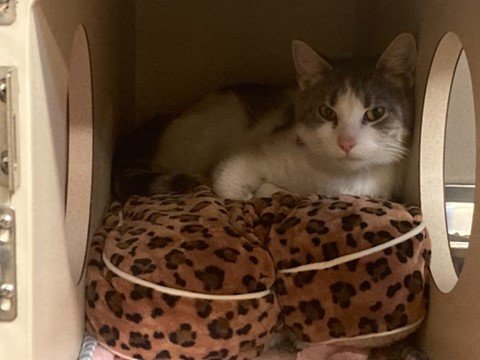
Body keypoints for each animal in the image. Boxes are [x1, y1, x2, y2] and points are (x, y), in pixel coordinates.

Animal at [112, 33, 416, 202]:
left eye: (375, 112)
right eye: (327, 111)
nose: (346, 142)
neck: (331, 178)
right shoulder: (248, 157)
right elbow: (229, 185)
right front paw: (261, 191)